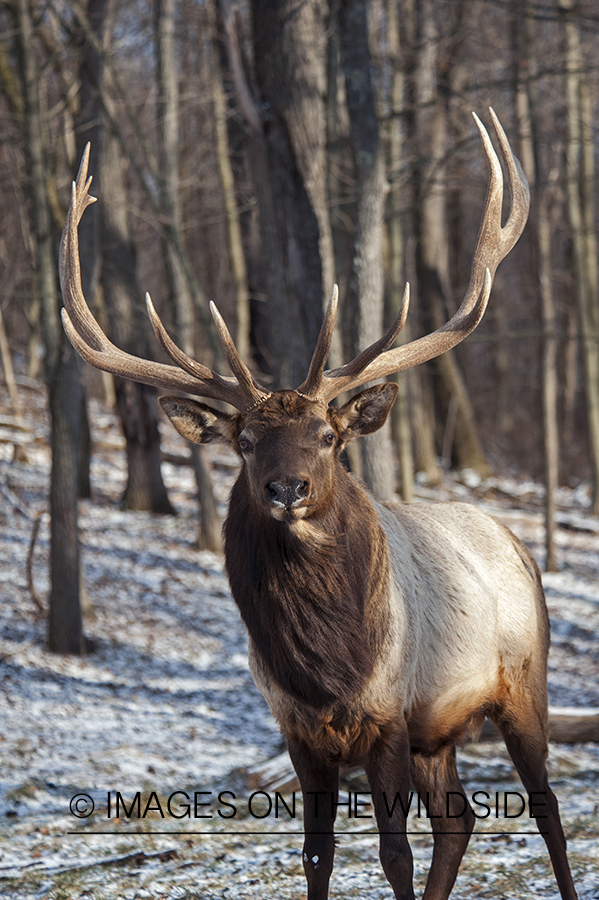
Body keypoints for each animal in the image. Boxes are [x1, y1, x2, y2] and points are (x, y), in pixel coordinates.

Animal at [58, 112, 580, 900]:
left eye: (327, 436)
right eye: (245, 441)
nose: (286, 488)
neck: (328, 666)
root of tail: (513, 539)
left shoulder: (389, 714)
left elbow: (393, 853)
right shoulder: (297, 730)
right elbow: (315, 854)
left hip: (523, 679)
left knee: (545, 811)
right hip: (441, 730)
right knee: (459, 821)